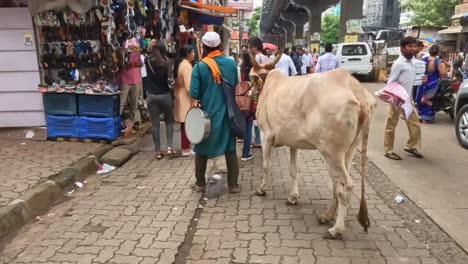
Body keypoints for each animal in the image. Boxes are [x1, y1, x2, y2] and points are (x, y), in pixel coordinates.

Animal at [252, 64, 376, 239]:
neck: (268, 86)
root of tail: (355, 87)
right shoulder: (293, 143)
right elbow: (293, 170)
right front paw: (293, 197)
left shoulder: (266, 135)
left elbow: (266, 166)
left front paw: (262, 189)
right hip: (348, 152)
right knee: (337, 185)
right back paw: (327, 216)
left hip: (331, 153)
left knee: (346, 187)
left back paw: (336, 229)